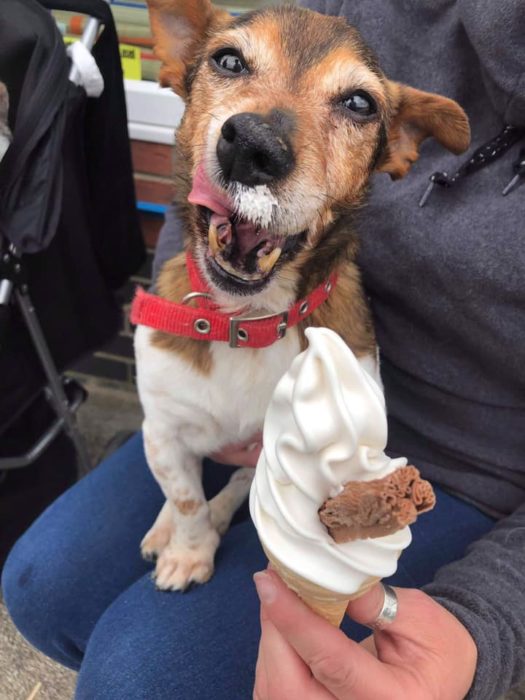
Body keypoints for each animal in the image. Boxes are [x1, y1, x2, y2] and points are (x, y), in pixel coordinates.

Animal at [133, 0, 468, 592]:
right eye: (228, 60)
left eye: (359, 103)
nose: (252, 146)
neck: (249, 320)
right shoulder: (164, 430)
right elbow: (186, 499)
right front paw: (188, 550)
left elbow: (236, 495)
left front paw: (197, 543)